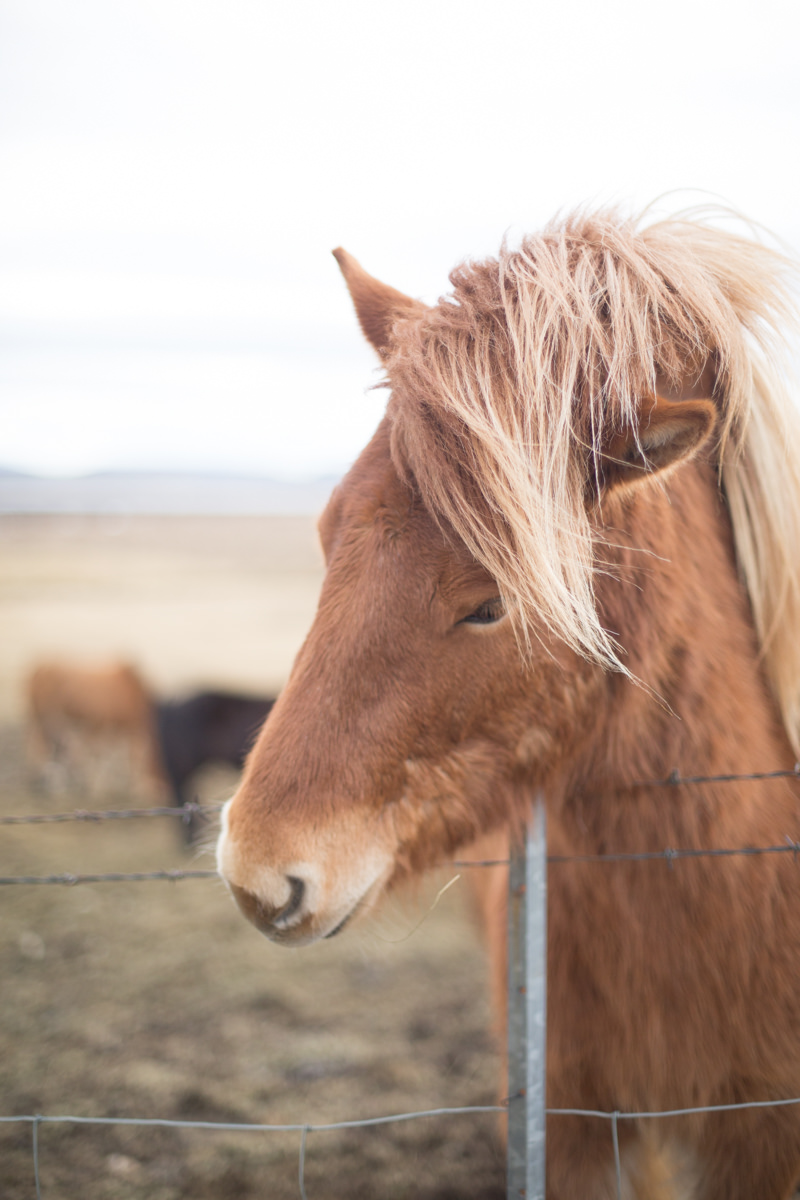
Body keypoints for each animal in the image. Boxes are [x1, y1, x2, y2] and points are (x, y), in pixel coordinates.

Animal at [26, 657, 163, 796]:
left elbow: (109, 754)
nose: (159, 790)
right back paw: (52, 783)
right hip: (49, 719)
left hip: (48, 722)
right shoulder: (102, 725)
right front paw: (98, 786)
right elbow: (102, 754)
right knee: (42, 748)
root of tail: (40, 670)